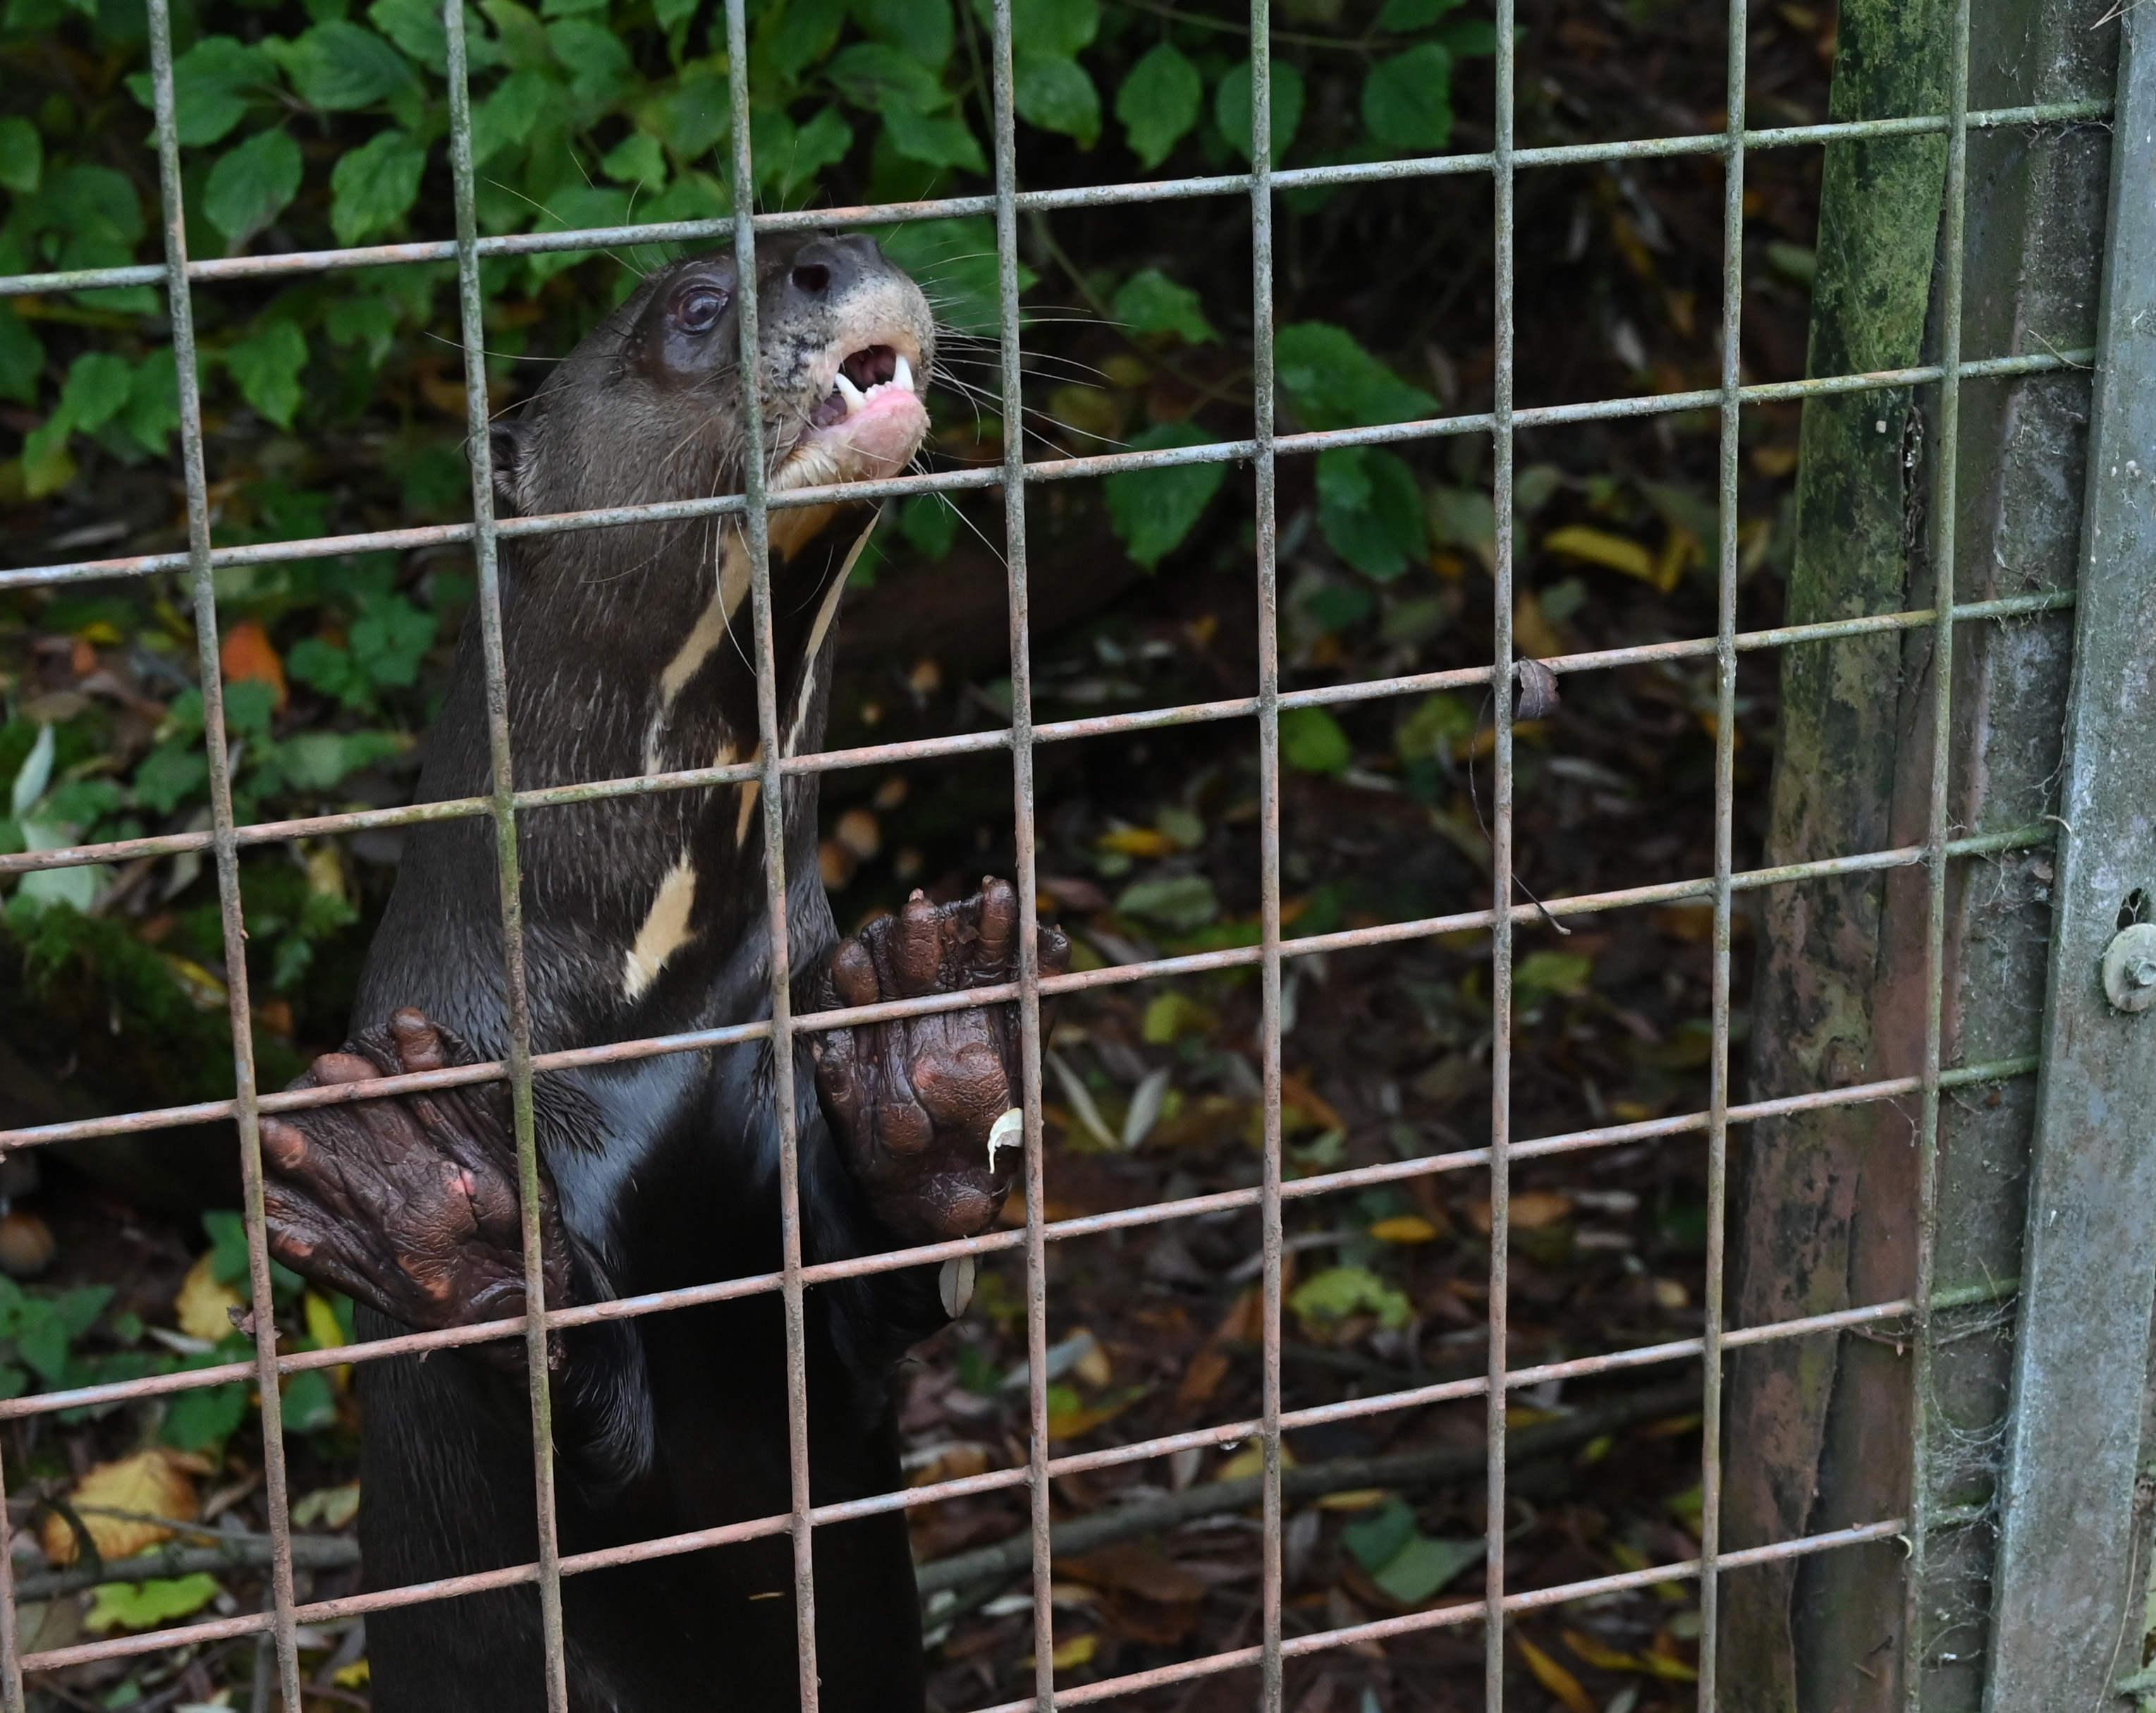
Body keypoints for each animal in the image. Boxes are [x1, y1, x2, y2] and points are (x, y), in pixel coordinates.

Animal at [261, 237, 1069, 1708]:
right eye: (693, 306)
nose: (838, 255)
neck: (645, 1027)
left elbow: (888, 1286)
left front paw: (928, 1067)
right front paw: (427, 1203)